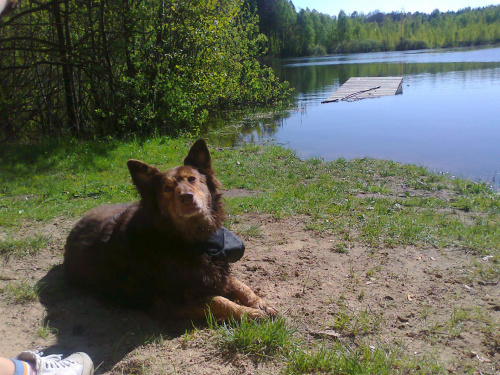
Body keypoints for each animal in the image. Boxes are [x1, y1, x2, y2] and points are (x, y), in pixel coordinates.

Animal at [63, 140, 278, 322]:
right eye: (167, 188)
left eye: (192, 179)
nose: (187, 197)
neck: (185, 239)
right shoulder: (168, 301)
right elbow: (218, 300)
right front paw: (251, 313)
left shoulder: (217, 272)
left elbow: (241, 286)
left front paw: (261, 303)